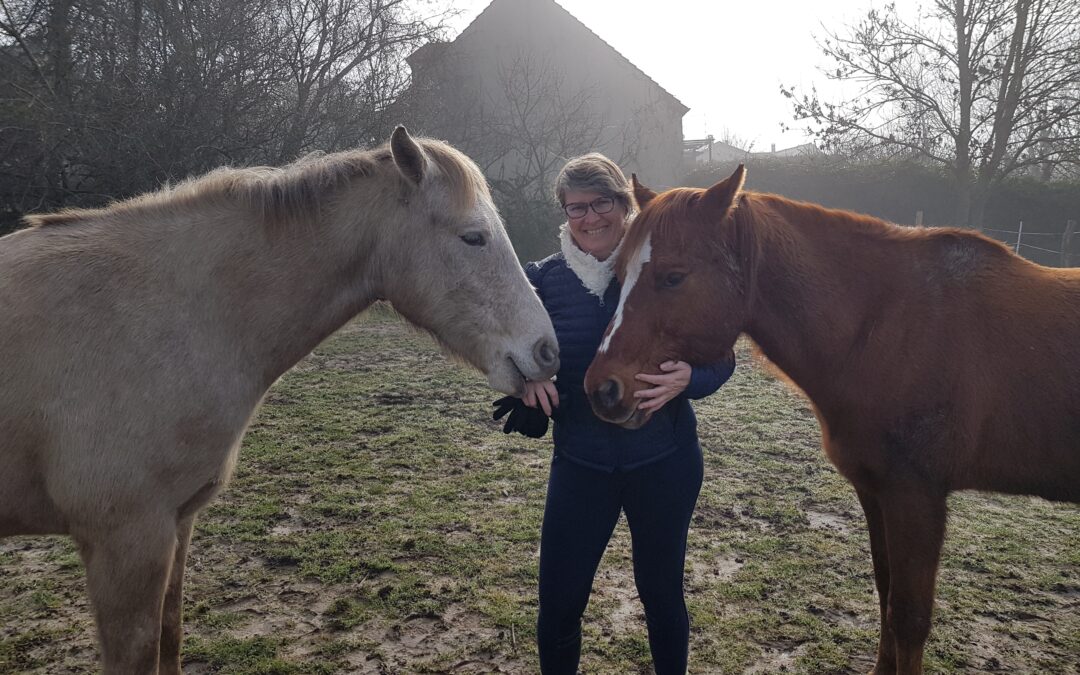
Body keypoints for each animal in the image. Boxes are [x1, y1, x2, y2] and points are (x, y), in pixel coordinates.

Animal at [0, 127, 557, 673]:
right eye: (473, 237)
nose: (547, 350)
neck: (172, 314)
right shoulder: (126, 543)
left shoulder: (175, 526)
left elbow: (171, 637)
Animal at [587, 166, 1080, 669]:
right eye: (619, 275)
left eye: (673, 277)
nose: (602, 389)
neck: (885, 326)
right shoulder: (876, 491)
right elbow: (885, 598)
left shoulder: (916, 497)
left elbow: (909, 619)